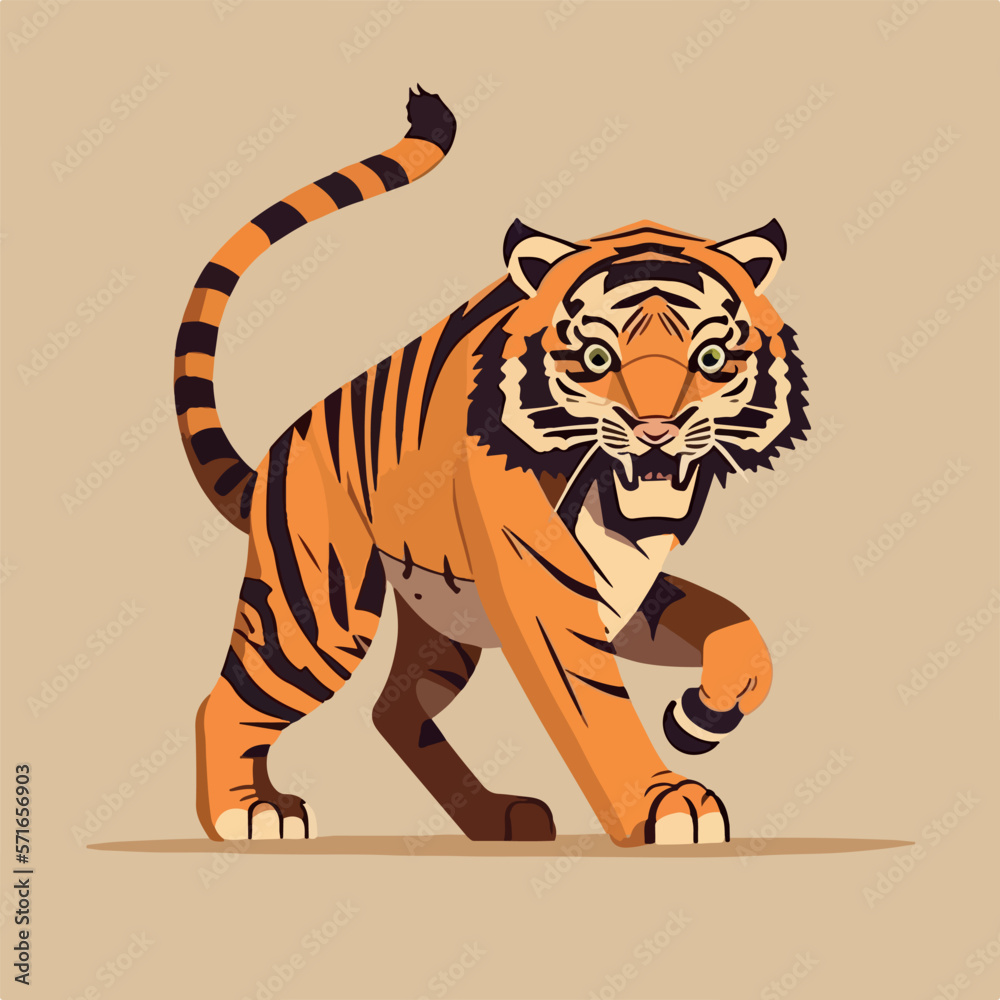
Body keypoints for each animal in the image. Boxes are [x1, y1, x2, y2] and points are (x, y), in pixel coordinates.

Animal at [175, 87, 808, 848]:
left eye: (710, 357)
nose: (658, 434)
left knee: (394, 710)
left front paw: (701, 715)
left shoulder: (622, 589)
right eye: (597, 359)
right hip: (320, 610)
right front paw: (666, 804)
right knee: (227, 701)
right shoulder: (546, 586)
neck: (615, 504)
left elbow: (739, 631)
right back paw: (251, 811)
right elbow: (596, 705)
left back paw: (496, 815)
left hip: (443, 627)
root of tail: (279, 448)